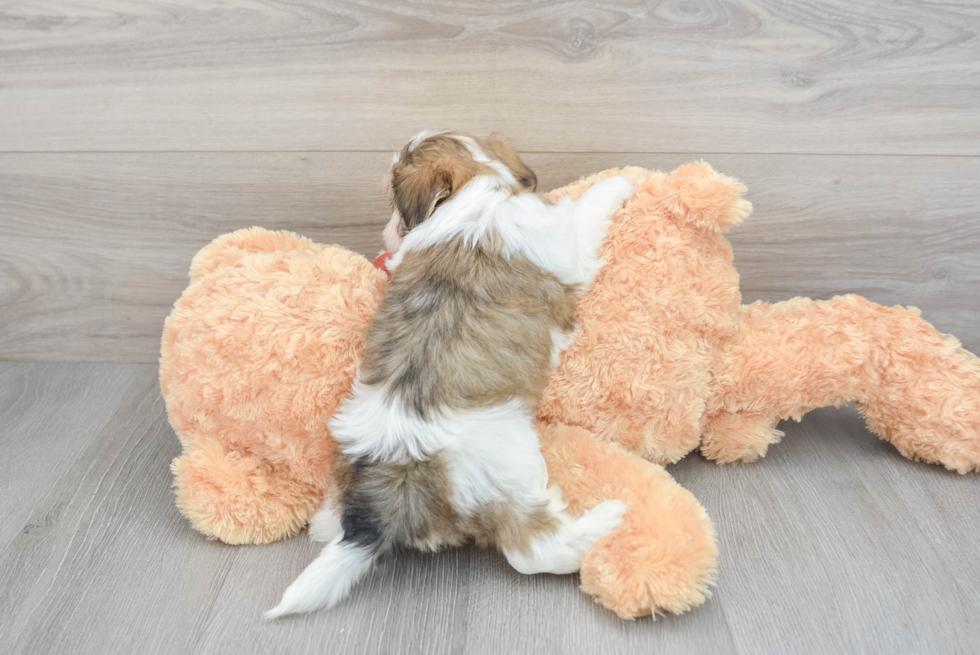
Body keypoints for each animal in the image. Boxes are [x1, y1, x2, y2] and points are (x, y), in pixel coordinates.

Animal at [266, 131, 636, 616]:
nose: (388, 230)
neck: (481, 193)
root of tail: (399, 478)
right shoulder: (564, 237)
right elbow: (585, 208)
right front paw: (619, 182)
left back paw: (328, 522)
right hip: (507, 469)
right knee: (533, 548)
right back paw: (602, 522)